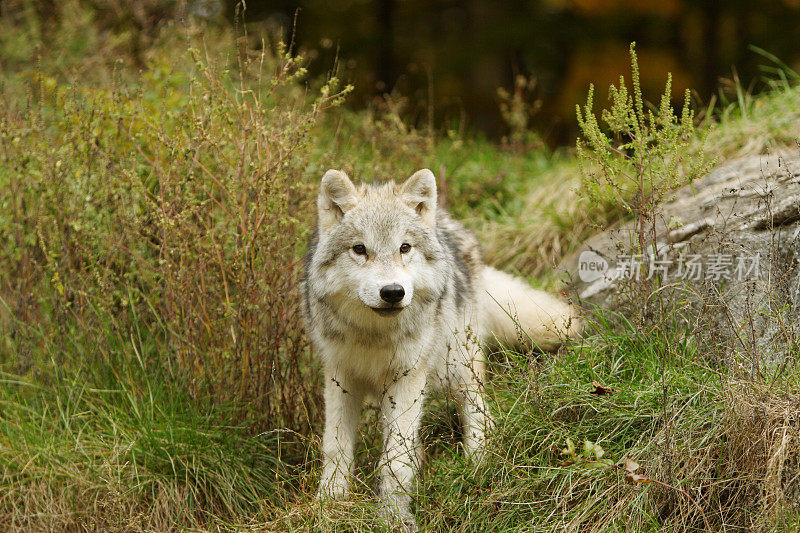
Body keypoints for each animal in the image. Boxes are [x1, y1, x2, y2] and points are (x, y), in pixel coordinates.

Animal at [300, 167, 580, 528]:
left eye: (404, 247)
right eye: (359, 249)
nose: (393, 292)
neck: (374, 335)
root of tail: (450, 223)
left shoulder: (409, 376)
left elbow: (396, 459)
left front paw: (393, 516)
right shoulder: (340, 377)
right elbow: (335, 446)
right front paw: (329, 505)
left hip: (457, 365)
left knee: (479, 412)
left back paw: (478, 464)